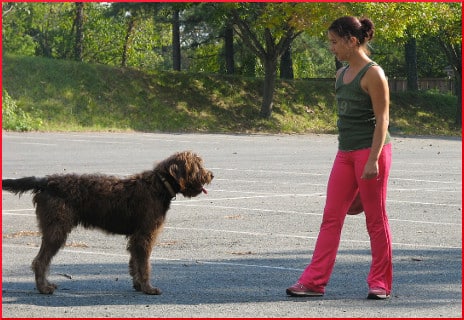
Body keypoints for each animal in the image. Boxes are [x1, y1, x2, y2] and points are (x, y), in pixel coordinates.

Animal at [2, 151, 213, 296]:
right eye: (197, 166)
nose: (211, 175)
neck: (159, 185)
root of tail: (47, 181)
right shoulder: (145, 235)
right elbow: (145, 264)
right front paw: (148, 288)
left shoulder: (135, 238)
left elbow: (135, 263)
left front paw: (138, 285)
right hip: (57, 231)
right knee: (40, 261)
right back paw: (44, 288)